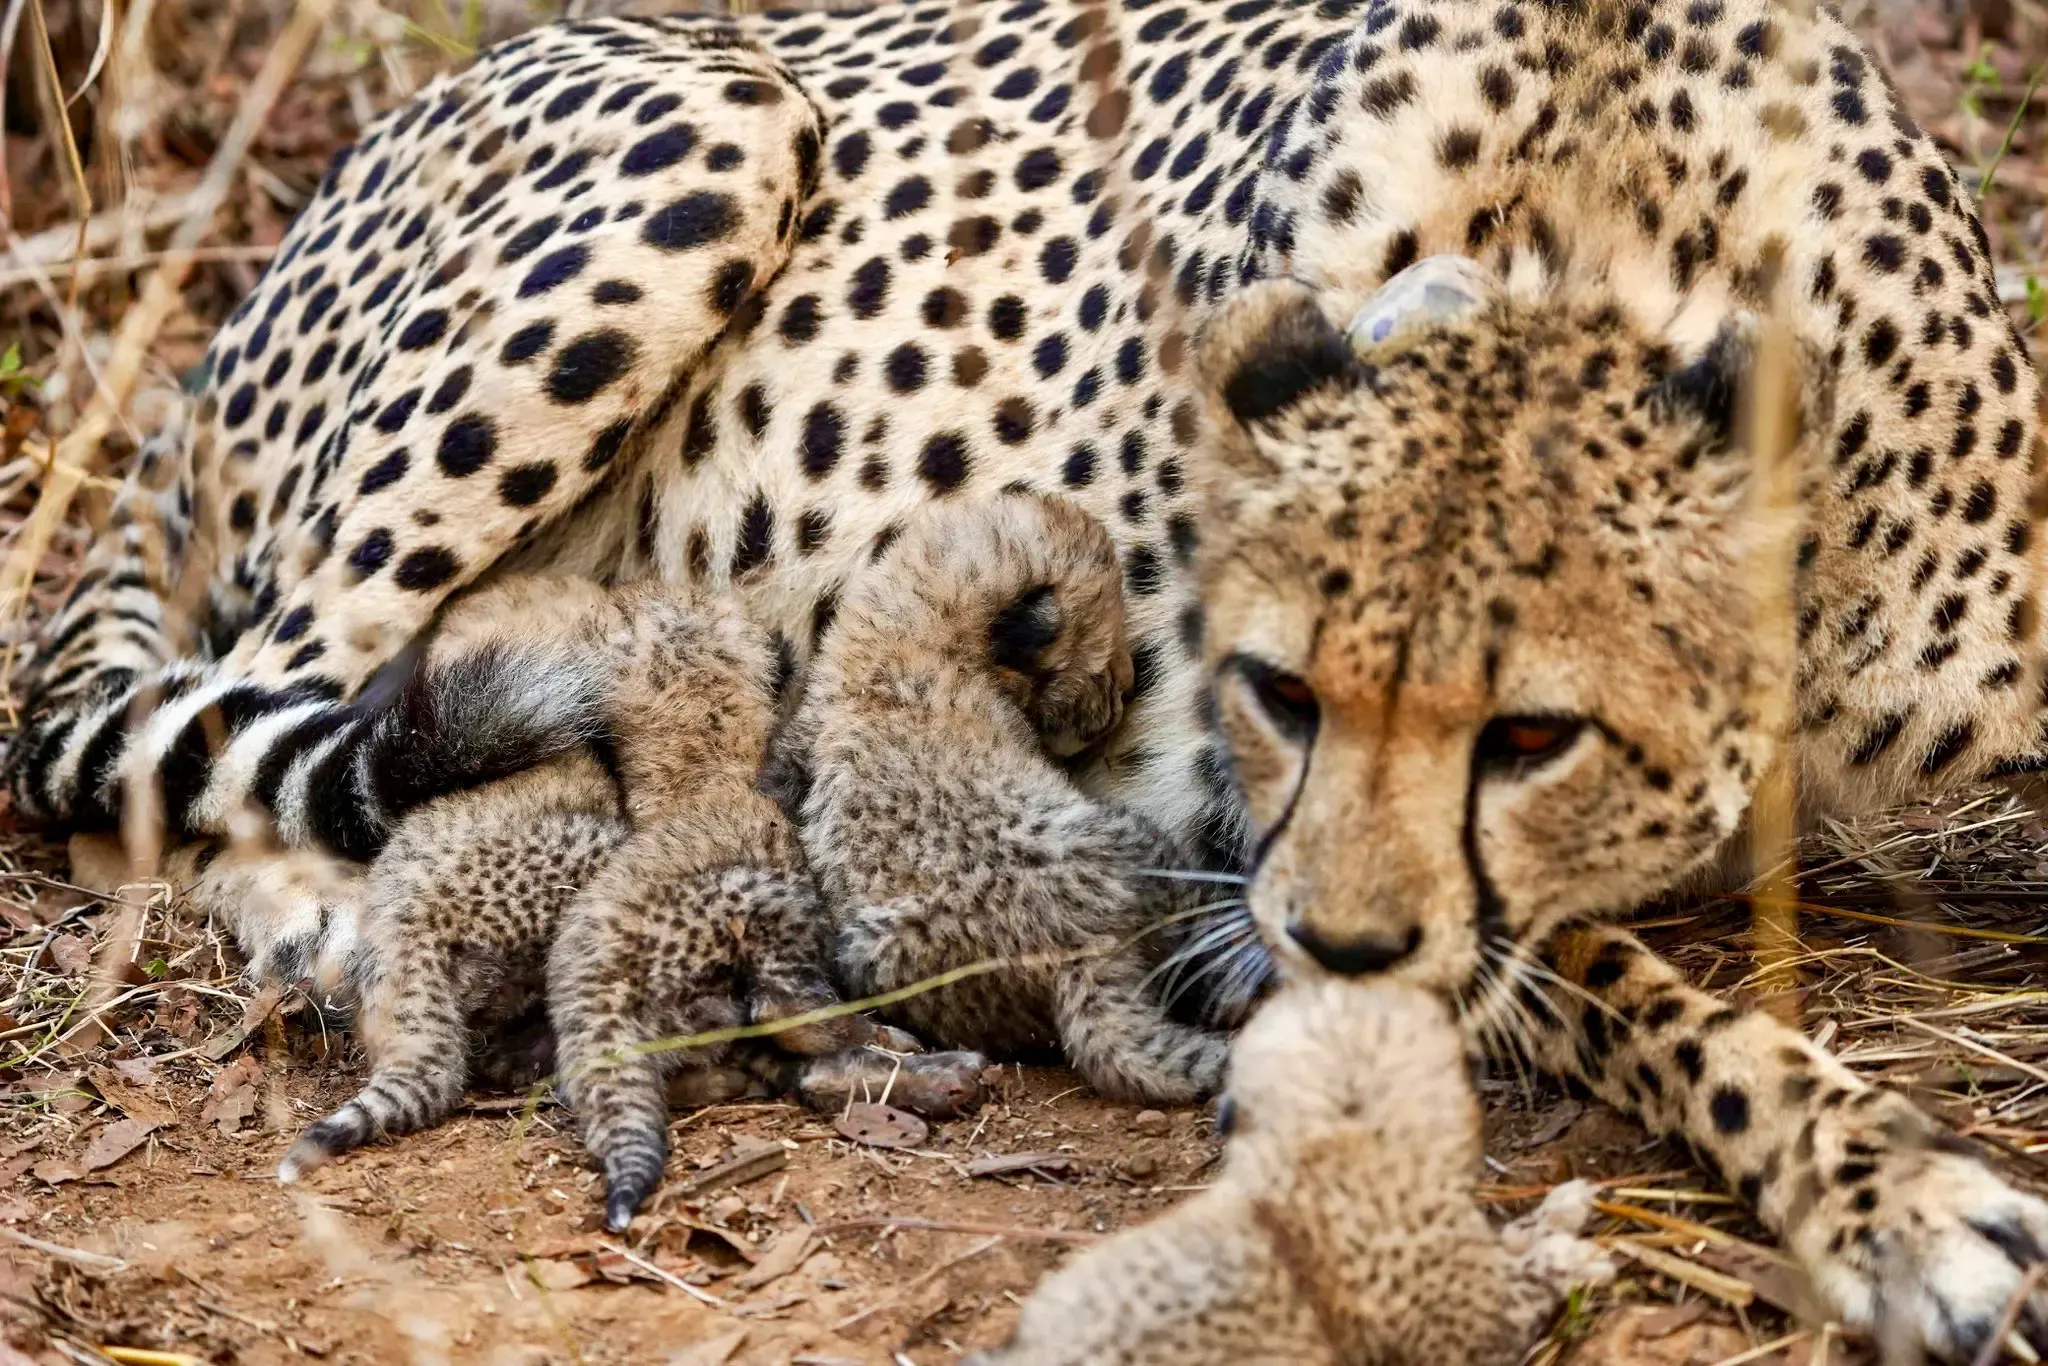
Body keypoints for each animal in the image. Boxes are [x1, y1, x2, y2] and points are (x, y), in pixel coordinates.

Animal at [768, 489, 1235, 1104]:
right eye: (1108, 649)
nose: (1127, 689)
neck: (912, 630)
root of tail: (1079, 954)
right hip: (1133, 840)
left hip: (868, 949)